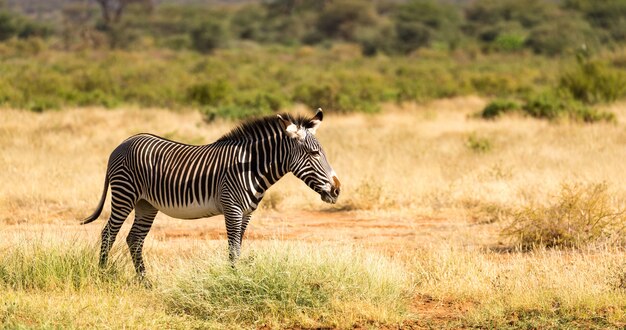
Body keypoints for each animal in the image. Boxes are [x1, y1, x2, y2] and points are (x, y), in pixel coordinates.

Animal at [81, 109, 342, 278]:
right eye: (314, 154)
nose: (337, 190)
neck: (250, 166)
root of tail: (123, 142)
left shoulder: (247, 213)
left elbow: (238, 247)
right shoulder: (232, 208)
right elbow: (233, 250)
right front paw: (234, 283)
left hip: (146, 203)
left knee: (134, 239)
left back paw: (146, 283)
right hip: (124, 194)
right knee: (108, 234)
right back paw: (103, 275)